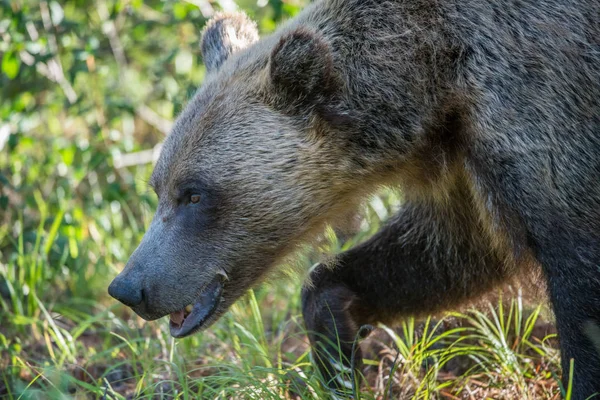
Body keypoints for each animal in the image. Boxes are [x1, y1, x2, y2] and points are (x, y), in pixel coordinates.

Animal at [108, 1, 600, 398]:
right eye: (158, 187)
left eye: (194, 193)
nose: (128, 287)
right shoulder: (467, 163)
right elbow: (452, 251)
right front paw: (339, 352)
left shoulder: (539, 104)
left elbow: (578, 280)